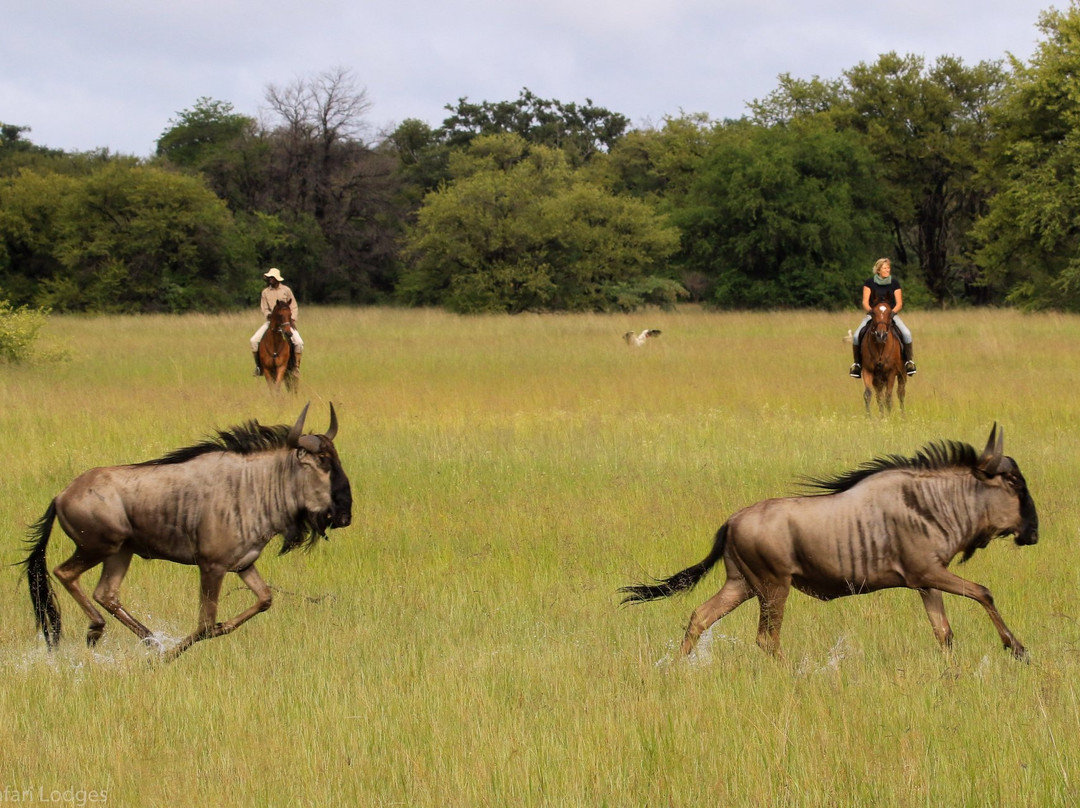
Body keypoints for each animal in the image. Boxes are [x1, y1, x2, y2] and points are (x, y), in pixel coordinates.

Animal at [626, 425, 1036, 661]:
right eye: (1015, 482)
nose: (1033, 533)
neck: (932, 503)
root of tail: (731, 520)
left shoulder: (926, 582)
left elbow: (945, 634)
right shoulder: (929, 573)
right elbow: (983, 592)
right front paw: (1017, 649)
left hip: (741, 584)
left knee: (700, 616)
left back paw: (677, 668)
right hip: (773, 587)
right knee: (766, 638)